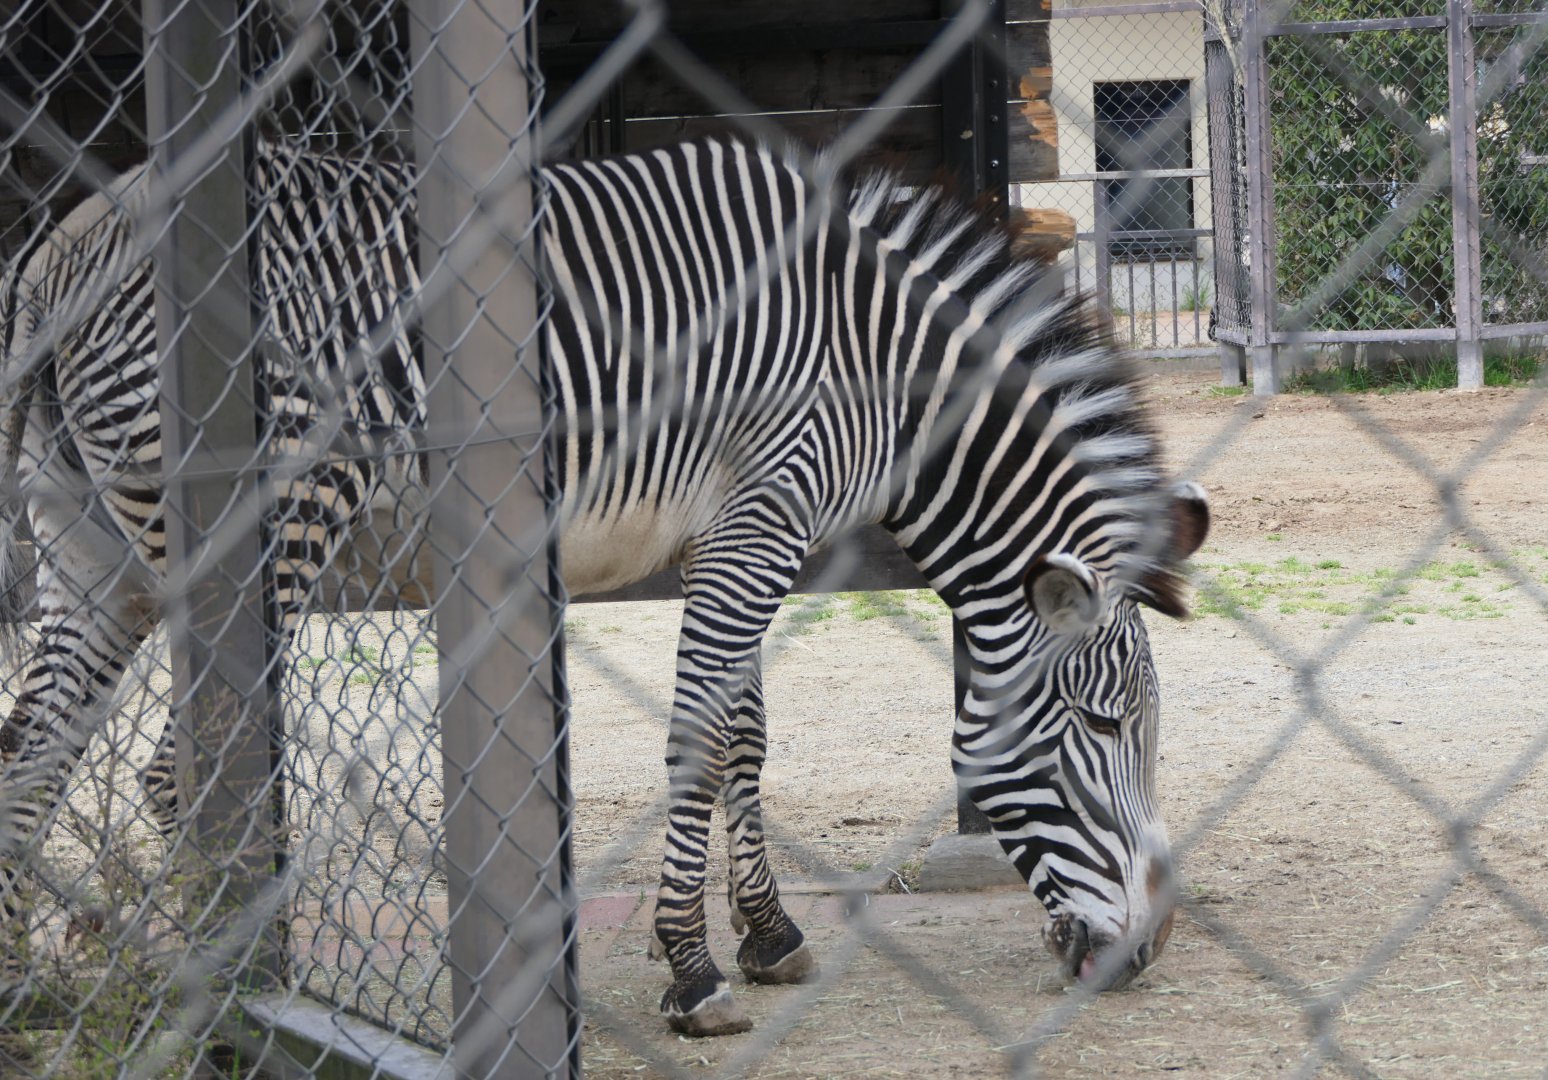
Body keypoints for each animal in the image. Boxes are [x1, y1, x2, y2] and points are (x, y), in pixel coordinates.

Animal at [0, 135, 1208, 1037]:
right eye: (1106, 726)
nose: (1149, 951)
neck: (877, 360)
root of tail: (67, 243)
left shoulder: (730, 531)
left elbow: (743, 735)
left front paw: (767, 934)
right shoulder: (763, 516)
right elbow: (698, 738)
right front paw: (692, 971)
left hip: (91, 550)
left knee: (34, 757)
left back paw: (30, 992)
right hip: (270, 521)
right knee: (175, 773)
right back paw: (231, 984)